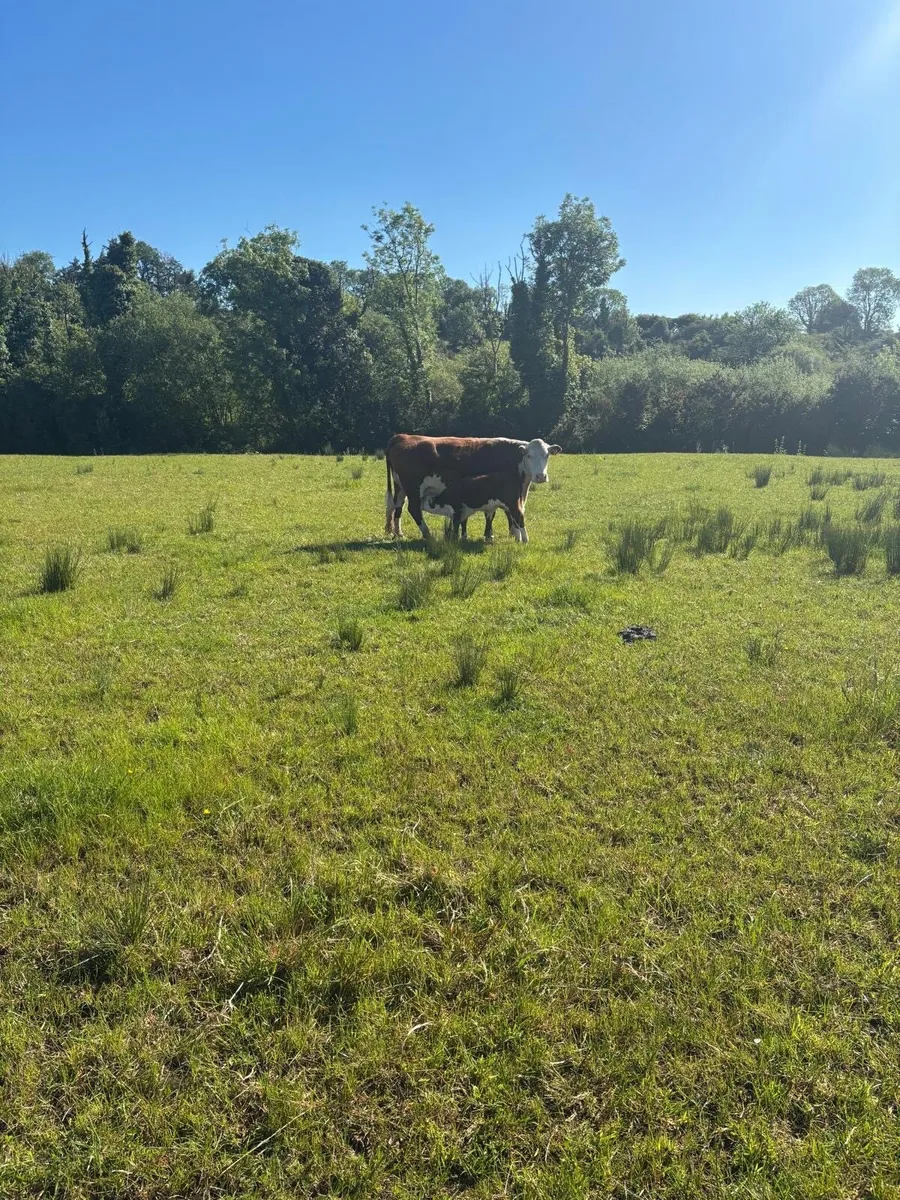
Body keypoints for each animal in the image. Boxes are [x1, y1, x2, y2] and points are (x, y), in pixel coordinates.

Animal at [384, 435, 561, 541]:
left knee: (397, 506)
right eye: (529, 456)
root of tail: (403, 436)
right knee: (413, 509)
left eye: (547, 455)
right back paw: (428, 534)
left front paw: (508, 533)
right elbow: (499, 513)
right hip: (413, 489)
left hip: (400, 487)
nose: (540, 476)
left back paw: (398, 532)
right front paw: (496, 535)